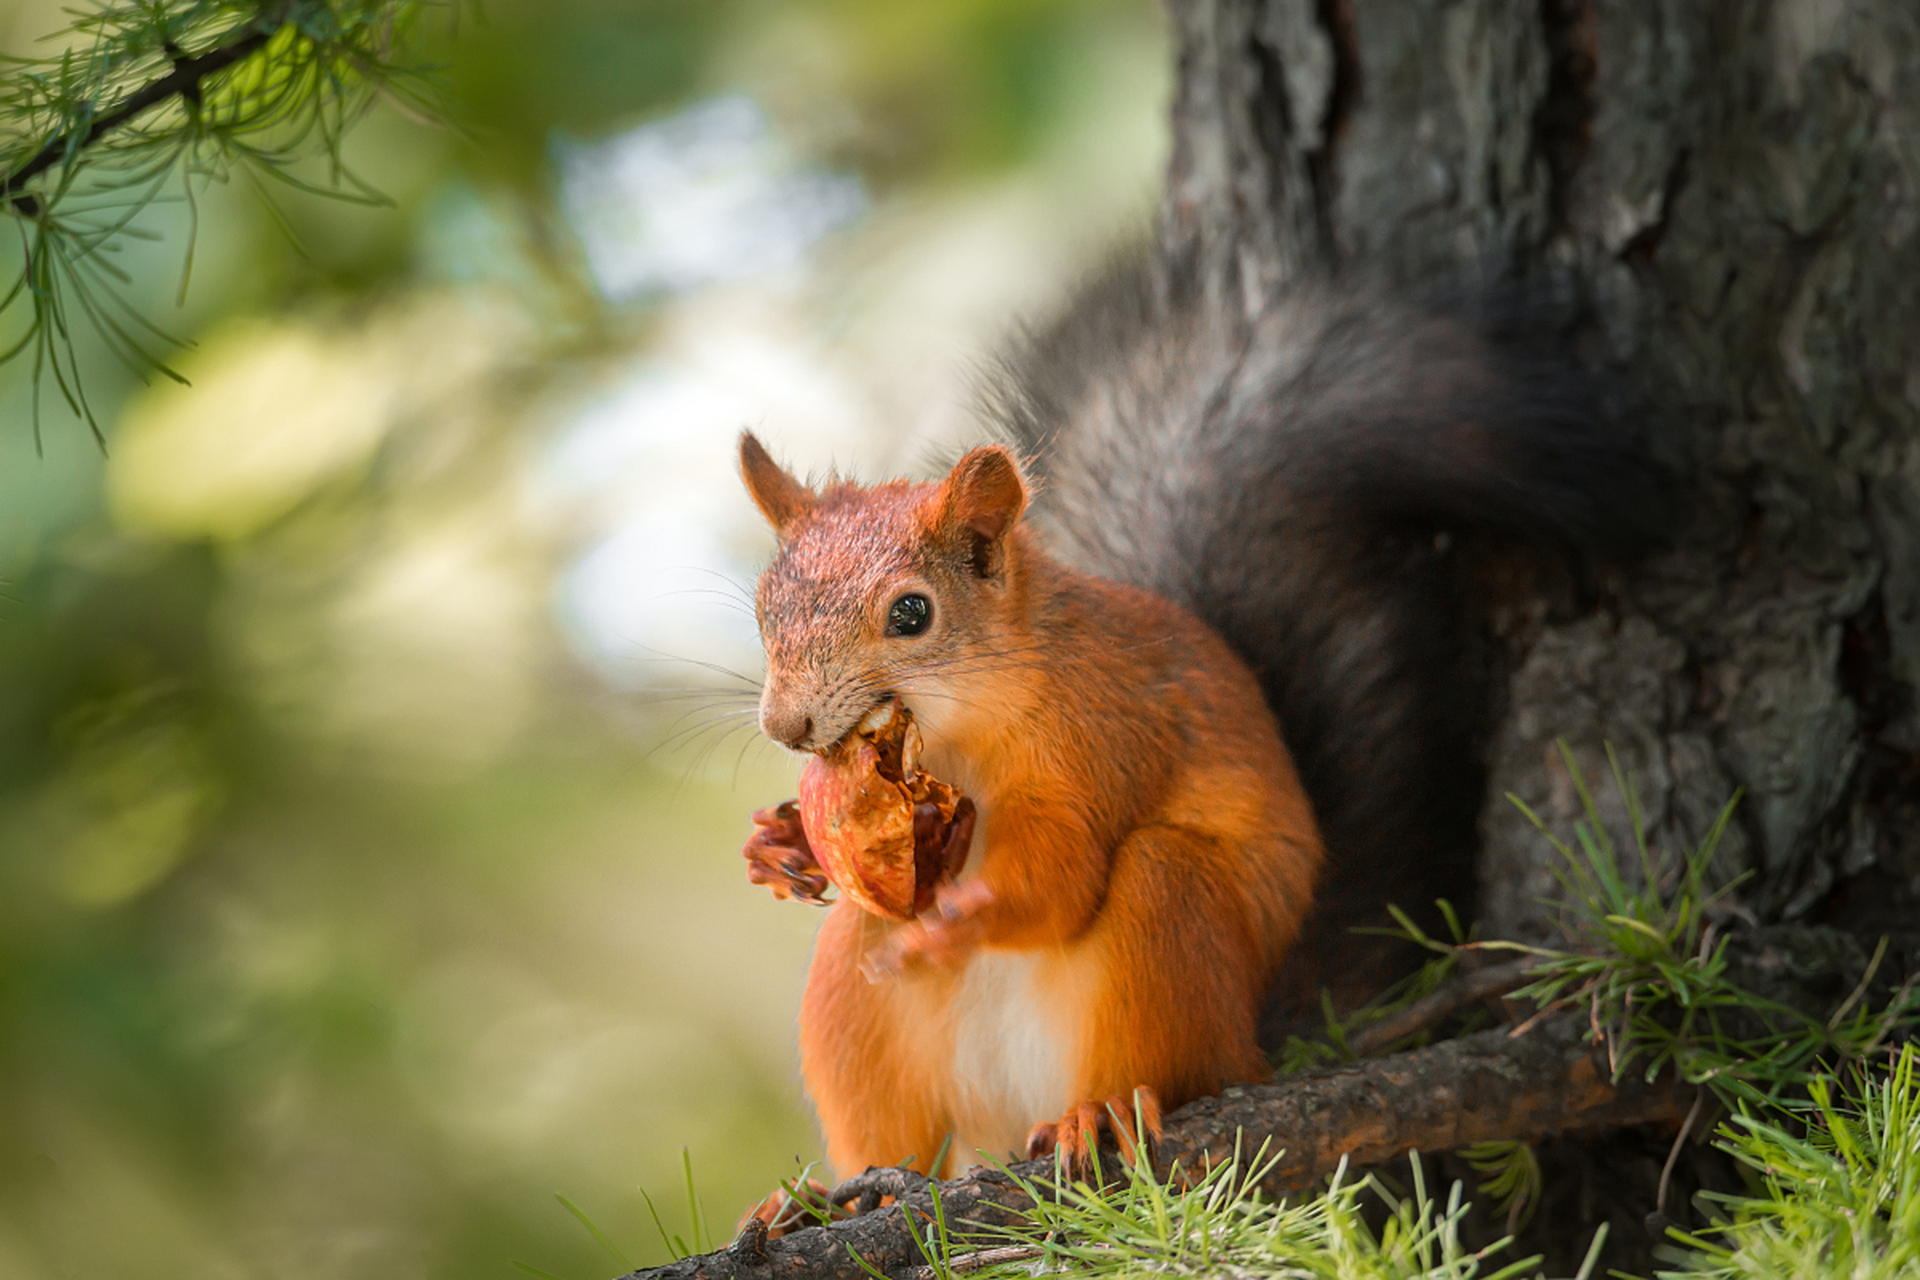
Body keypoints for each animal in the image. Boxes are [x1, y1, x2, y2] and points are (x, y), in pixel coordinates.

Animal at [725, 247, 1658, 1212]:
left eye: (912, 614)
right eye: (762, 608)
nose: (787, 725)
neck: (956, 734)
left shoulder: (1101, 740)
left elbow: (1063, 880)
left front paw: (968, 915)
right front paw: (777, 846)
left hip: (1175, 928)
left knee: (1163, 1003)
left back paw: (1097, 1114)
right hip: (867, 1002)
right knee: (881, 1055)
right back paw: (828, 1199)